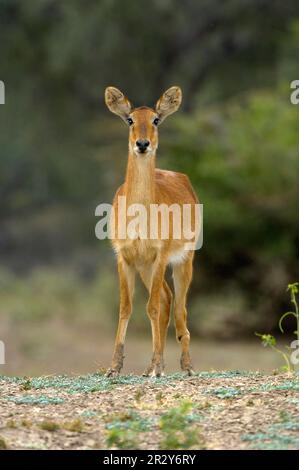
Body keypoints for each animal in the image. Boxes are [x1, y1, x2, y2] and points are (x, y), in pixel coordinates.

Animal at [104, 85, 200, 378]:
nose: (143, 144)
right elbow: (126, 308)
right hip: (145, 267)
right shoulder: (124, 257)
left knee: (179, 307)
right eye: (130, 119)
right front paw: (114, 367)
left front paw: (157, 367)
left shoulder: (160, 256)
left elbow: (153, 307)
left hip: (184, 261)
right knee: (168, 300)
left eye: (156, 119)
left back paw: (185, 366)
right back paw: (156, 364)